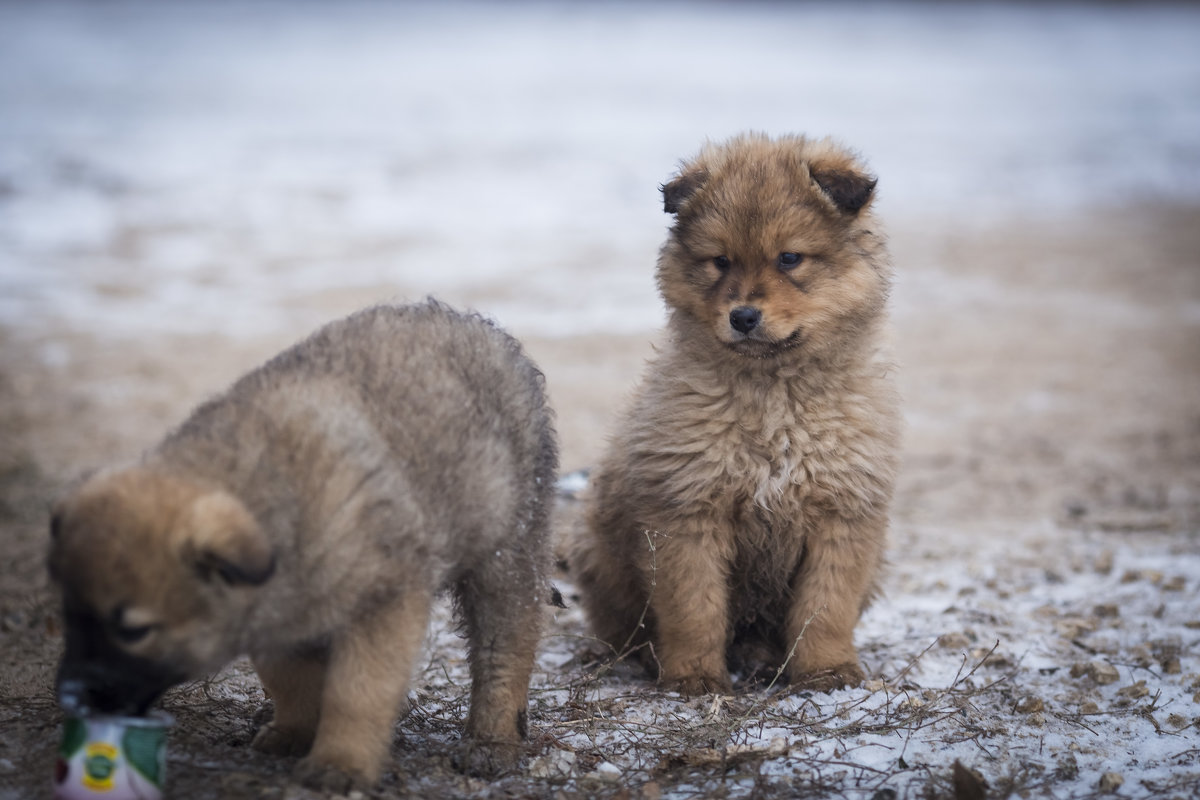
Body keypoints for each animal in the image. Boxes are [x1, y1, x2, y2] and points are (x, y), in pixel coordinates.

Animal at [42, 303, 556, 791]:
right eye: (70, 612)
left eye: (134, 631)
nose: (70, 696)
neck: (272, 491)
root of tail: (477, 324)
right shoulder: (278, 608)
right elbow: (289, 677)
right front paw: (295, 730)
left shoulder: (382, 603)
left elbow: (356, 692)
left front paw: (340, 763)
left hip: (505, 556)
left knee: (506, 647)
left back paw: (492, 740)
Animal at [571, 131, 902, 695]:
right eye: (720, 261)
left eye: (789, 258)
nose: (743, 316)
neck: (773, 398)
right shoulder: (688, 512)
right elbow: (695, 609)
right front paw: (694, 677)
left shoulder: (843, 513)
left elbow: (826, 607)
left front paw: (827, 671)